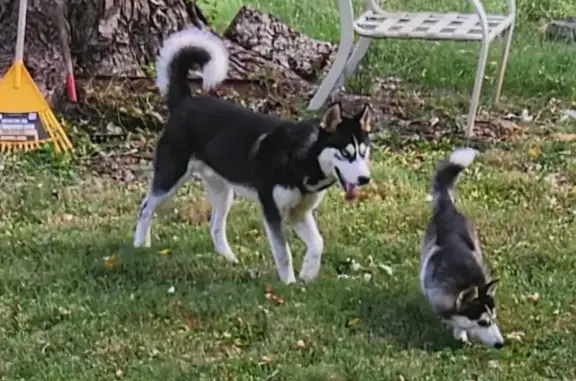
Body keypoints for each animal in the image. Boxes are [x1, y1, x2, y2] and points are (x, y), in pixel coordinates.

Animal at [131, 26, 374, 284]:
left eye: (364, 153)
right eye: (345, 153)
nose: (364, 179)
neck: (303, 157)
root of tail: (185, 102)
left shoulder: (299, 213)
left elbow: (318, 243)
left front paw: (307, 275)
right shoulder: (272, 211)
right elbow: (284, 253)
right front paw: (289, 284)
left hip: (223, 191)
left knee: (215, 226)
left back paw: (228, 259)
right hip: (171, 176)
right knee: (146, 207)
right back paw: (140, 244)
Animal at [418, 147, 504, 348]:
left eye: (494, 318)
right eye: (482, 322)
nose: (501, 344)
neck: (466, 282)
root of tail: (448, 208)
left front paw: (461, 333)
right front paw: (460, 332)